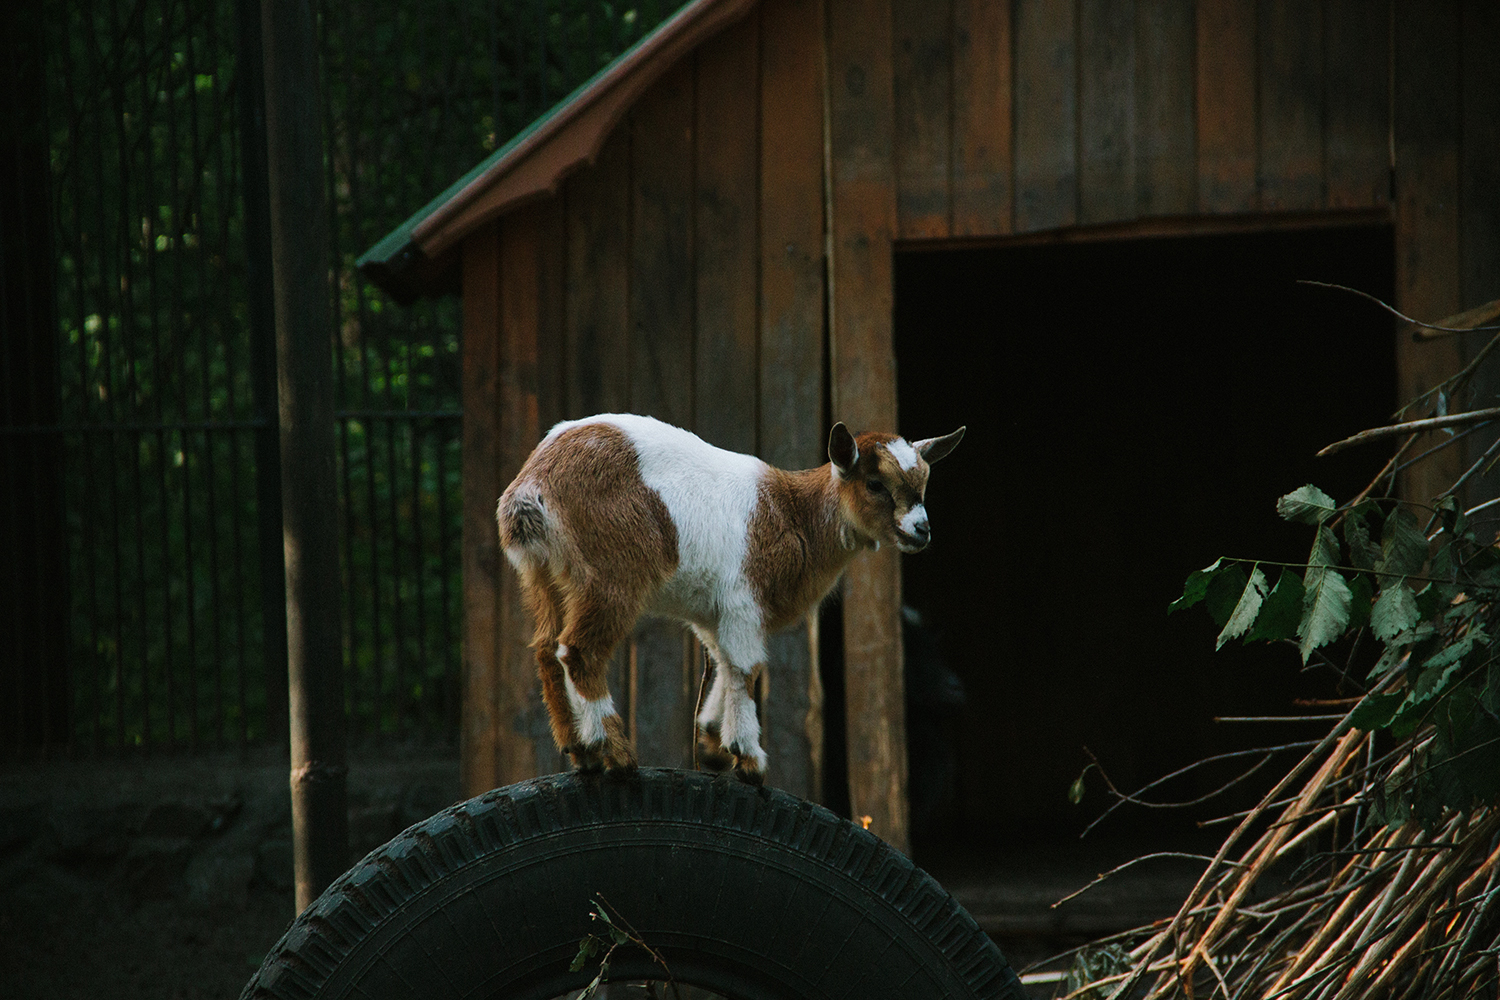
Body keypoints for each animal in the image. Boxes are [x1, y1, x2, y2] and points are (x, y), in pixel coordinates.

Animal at [492, 410, 960, 785]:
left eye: (924, 485)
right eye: (876, 484)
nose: (921, 530)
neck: (794, 514)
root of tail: (531, 485)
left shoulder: (711, 613)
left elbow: (722, 662)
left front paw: (712, 741)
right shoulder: (743, 601)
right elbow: (746, 667)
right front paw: (749, 758)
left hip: (546, 576)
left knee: (546, 650)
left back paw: (581, 750)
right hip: (611, 572)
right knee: (579, 650)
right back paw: (614, 752)